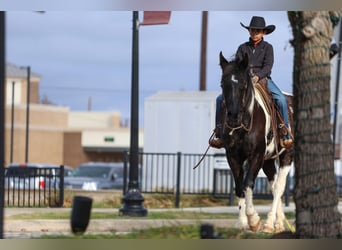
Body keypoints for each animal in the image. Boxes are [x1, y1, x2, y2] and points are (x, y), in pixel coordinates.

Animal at [219, 50, 294, 232]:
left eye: (243, 85)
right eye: (223, 85)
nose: (232, 116)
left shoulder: (256, 156)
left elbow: (248, 184)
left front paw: (253, 219)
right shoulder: (233, 157)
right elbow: (239, 186)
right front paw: (242, 222)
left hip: (287, 155)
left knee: (279, 187)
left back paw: (269, 223)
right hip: (268, 160)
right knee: (273, 185)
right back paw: (278, 224)